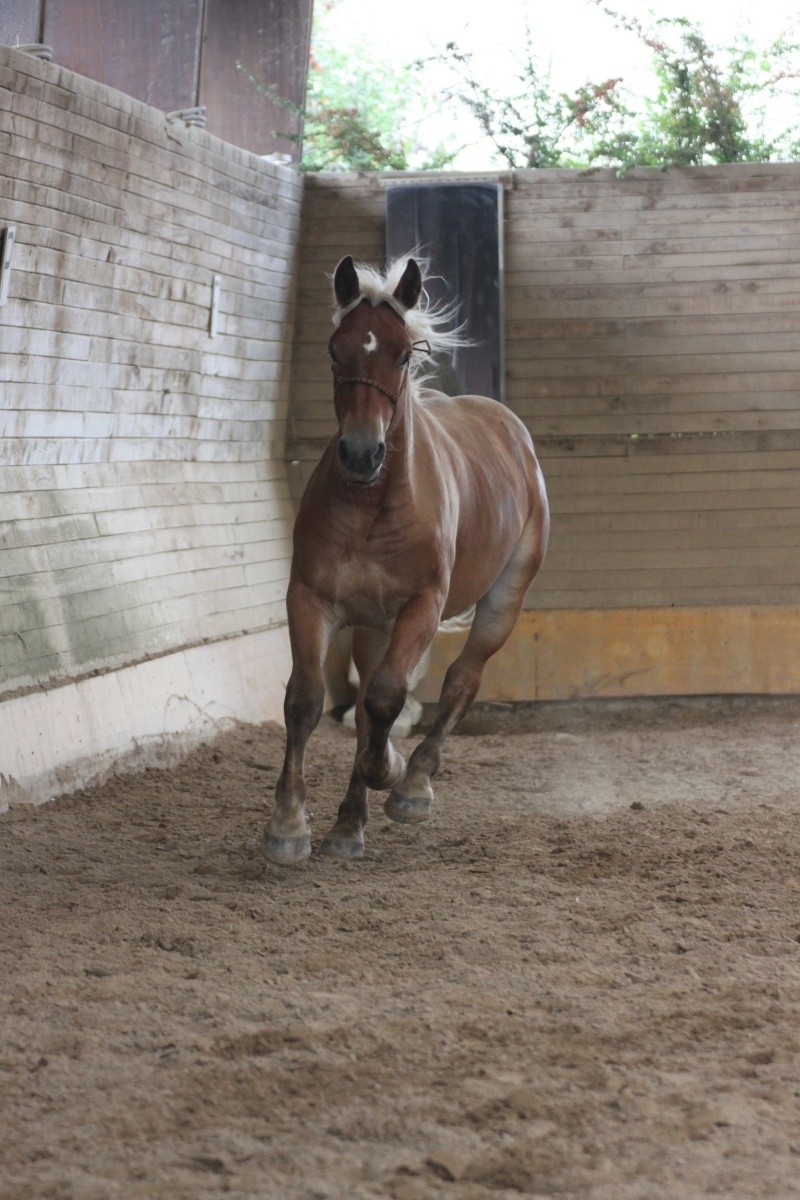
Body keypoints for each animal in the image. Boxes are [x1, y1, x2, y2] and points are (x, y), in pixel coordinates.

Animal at [266, 258, 546, 868]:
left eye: (401, 355)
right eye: (335, 351)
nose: (360, 453)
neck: (374, 505)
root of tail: (509, 429)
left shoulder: (421, 608)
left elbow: (388, 698)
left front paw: (390, 771)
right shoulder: (310, 599)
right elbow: (306, 699)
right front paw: (290, 823)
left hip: (502, 602)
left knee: (461, 681)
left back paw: (412, 783)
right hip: (374, 627)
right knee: (369, 700)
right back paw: (349, 825)